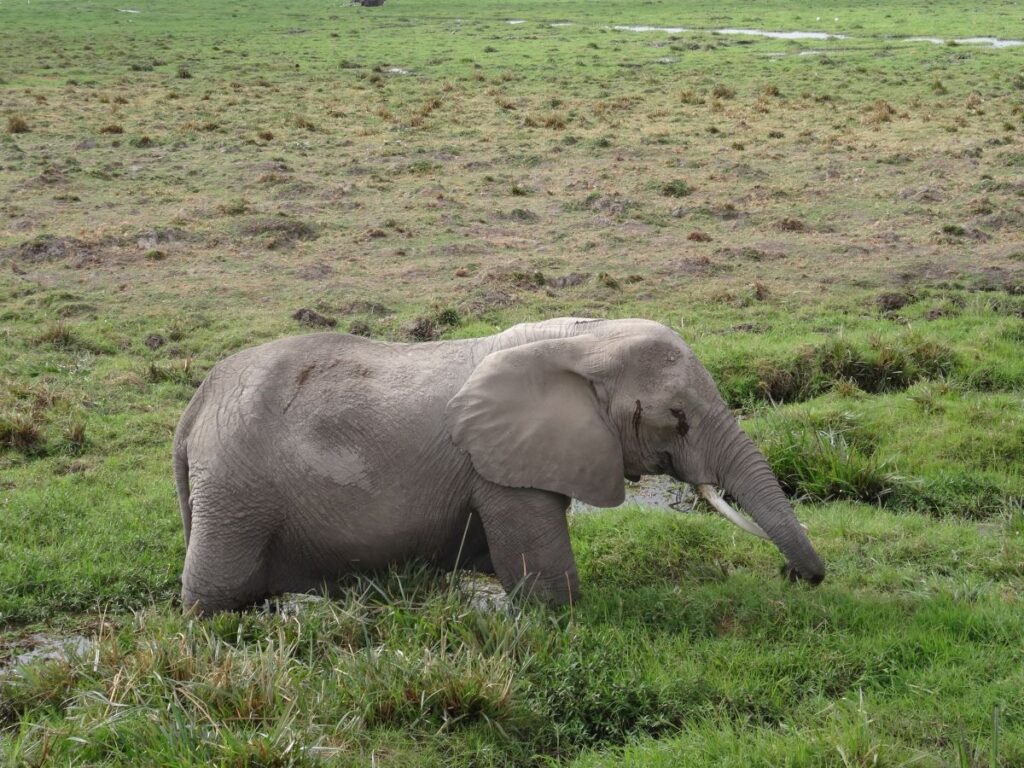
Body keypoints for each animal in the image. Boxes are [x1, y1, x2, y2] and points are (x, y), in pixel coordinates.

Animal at [174, 317, 824, 615]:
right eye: (678, 416)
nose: (796, 578)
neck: (583, 339)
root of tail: (196, 405)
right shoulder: (502, 471)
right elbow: (547, 586)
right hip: (236, 489)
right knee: (217, 592)